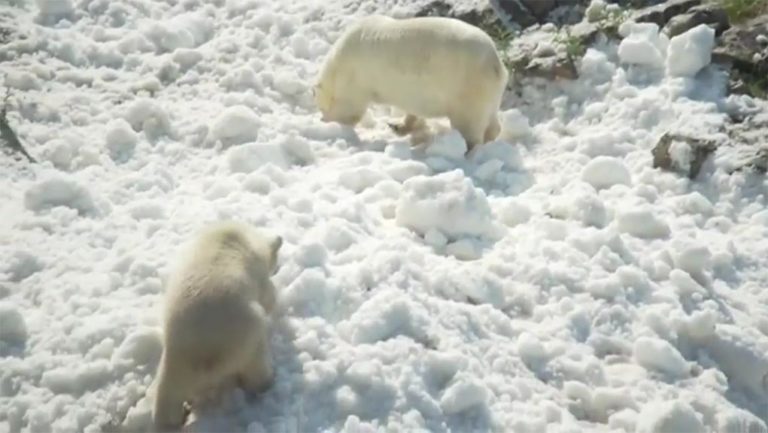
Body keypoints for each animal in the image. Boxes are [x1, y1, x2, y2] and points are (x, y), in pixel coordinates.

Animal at [150, 221, 282, 430]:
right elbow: (269, 297)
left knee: (168, 392)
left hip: (175, 359)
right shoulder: (257, 272)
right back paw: (269, 380)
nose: (279, 267)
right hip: (246, 336)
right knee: (256, 363)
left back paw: (170, 420)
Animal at [312, 15, 510, 154]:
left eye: (321, 107)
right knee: (491, 119)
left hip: (466, 86)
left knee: (468, 123)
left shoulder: (354, 76)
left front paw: (332, 124)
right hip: (490, 91)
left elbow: (349, 108)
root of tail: (495, 64)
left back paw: (466, 149)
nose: (322, 116)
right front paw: (398, 125)